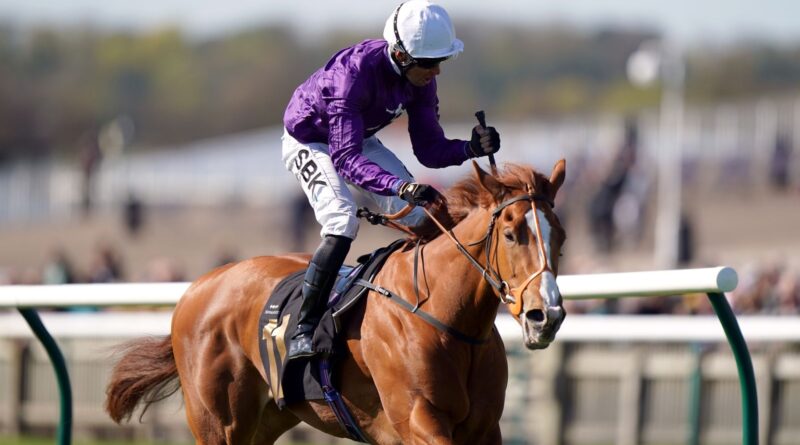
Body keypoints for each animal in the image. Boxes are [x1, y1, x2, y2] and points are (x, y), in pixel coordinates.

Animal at [106, 160, 564, 444]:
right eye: (511, 235)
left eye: (559, 235)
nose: (547, 316)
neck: (445, 318)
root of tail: (198, 287)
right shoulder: (420, 422)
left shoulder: (485, 429)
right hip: (217, 424)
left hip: (266, 419)